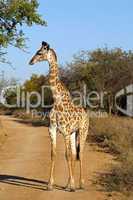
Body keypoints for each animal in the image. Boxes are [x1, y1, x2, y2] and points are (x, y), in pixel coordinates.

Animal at [29, 41, 89, 191]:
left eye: (39, 52)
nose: (30, 61)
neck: (57, 100)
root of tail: (86, 113)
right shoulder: (52, 129)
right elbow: (54, 154)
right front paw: (50, 184)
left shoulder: (65, 131)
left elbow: (67, 155)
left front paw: (72, 186)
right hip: (74, 133)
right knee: (74, 153)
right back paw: (68, 183)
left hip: (83, 131)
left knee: (80, 153)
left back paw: (81, 184)